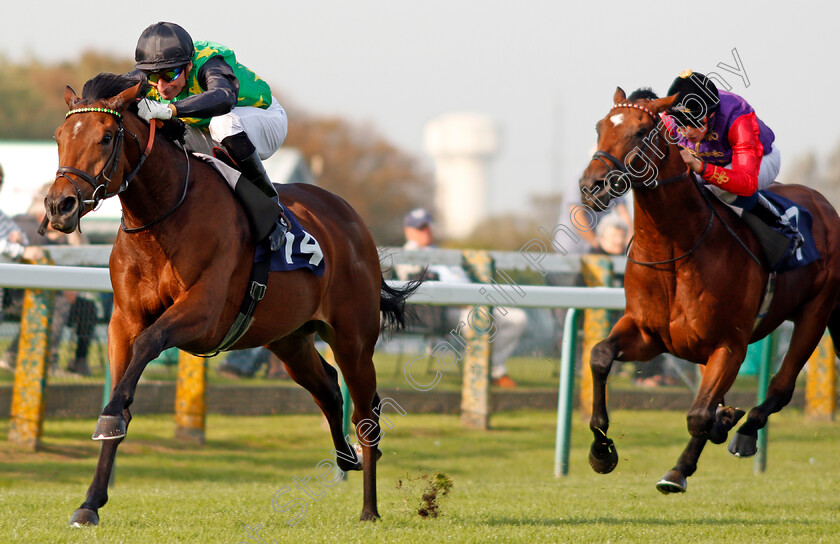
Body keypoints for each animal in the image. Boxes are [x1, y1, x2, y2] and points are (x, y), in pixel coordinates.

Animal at [46, 74, 416, 524]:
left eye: (105, 137)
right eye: (60, 136)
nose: (59, 206)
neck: (163, 217)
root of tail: (352, 220)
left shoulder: (204, 313)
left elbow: (150, 344)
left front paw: (109, 422)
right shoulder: (124, 320)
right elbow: (123, 391)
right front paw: (90, 502)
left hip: (354, 340)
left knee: (366, 415)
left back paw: (369, 508)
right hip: (288, 339)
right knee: (328, 386)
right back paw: (346, 458)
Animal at [576, 88, 840, 492]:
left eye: (640, 132)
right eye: (599, 128)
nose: (592, 187)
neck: (674, 250)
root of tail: (825, 205)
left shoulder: (730, 344)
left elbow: (699, 415)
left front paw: (681, 467)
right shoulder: (648, 333)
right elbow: (600, 355)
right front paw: (601, 451)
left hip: (816, 312)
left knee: (780, 387)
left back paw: (742, 433)